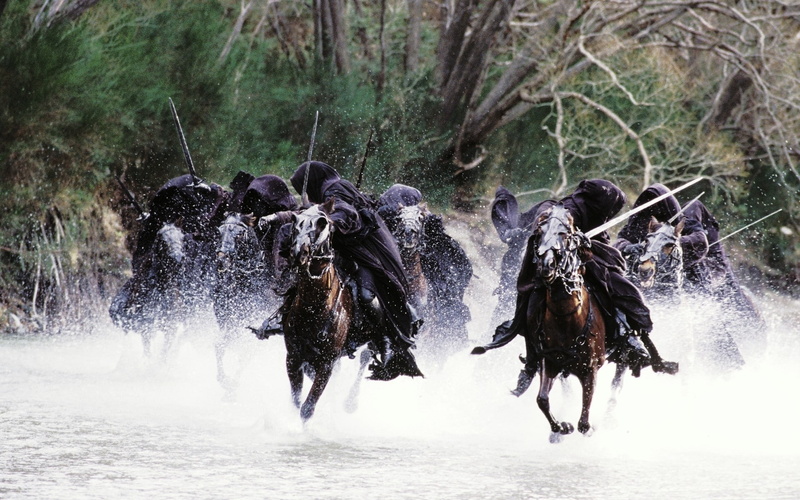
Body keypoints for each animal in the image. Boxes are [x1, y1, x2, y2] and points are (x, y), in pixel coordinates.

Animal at [282, 199, 372, 421]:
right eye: (295, 219)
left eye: (322, 223)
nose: (299, 252)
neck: (313, 310)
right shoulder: (293, 357)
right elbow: (296, 401)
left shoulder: (326, 364)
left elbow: (307, 408)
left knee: (366, 357)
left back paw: (350, 402)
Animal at [531, 204, 607, 441]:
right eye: (539, 232)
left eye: (564, 233)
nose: (546, 265)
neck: (566, 320)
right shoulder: (550, 362)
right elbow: (542, 399)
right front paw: (561, 427)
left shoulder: (590, 368)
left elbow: (584, 422)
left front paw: (588, 428)